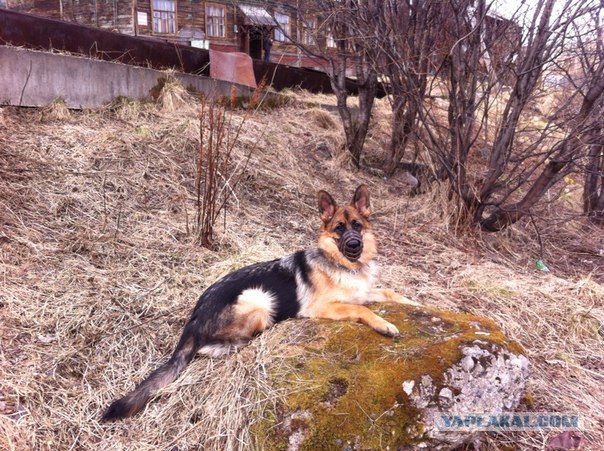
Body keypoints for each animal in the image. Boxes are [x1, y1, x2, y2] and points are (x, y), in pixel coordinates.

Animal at [101, 185, 418, 422]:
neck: (345, 266)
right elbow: (360, 308)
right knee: (213, 347)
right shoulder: (322, 308)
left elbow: (389, 293)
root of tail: (193, 318)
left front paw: (414, 303)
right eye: (339, 229)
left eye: (357, 226)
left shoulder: (364, 291)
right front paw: (385, 324)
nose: (354, 245)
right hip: (259, 298)